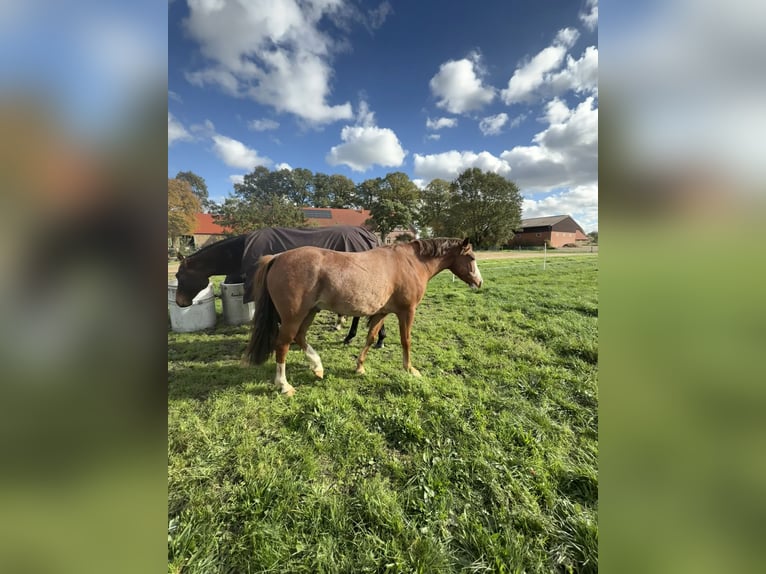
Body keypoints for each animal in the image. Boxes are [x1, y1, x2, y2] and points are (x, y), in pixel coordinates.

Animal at [244, 237, 483, 396]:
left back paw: (317, 366)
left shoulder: (382, 312)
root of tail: (277, 257)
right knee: (283, 344)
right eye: (471, 257)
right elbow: (406, 340)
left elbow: (370, 337)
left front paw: (359, 366)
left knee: (300, 337)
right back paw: (284, 385)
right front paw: (410, 369)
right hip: (293, 316)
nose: (479, 282)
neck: (410, 263)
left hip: (309, 312)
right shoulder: (407, 311)